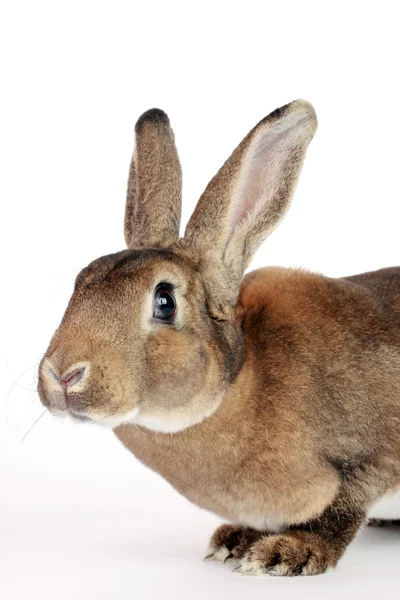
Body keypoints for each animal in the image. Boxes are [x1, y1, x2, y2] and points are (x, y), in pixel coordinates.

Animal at [37, 99, 400, 576]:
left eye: (165, 301)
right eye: (81, 282)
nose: (62, 374)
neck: (236, 383)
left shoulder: (369, 456)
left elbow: (343, 509)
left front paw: (287, 552)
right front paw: (234, 541)